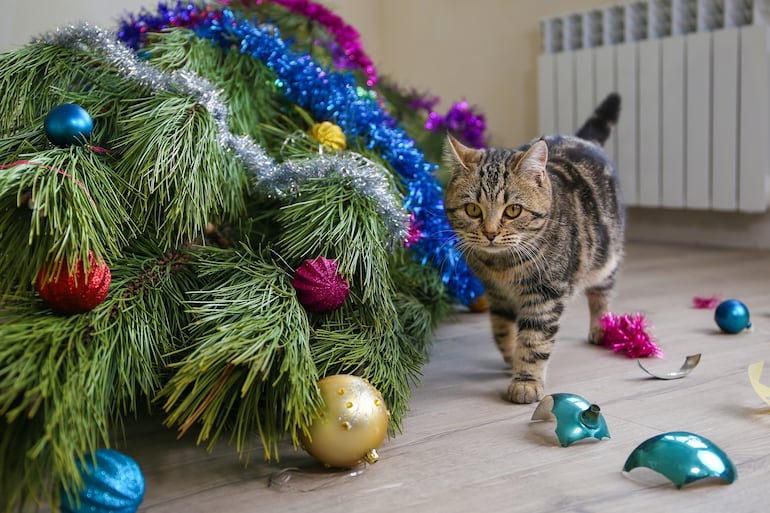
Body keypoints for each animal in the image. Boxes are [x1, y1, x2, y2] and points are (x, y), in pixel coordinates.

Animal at [444, 93, 624, 404]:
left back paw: (601, 326)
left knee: (602, 293)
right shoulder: (496, 293)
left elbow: (535, 340)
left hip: (606, 254)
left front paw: (526, 380)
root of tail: (582, 139)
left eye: (513, 210)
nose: (490, 233)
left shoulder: (546, 295)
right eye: (472, 209)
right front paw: (510, 356)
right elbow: (502, 328)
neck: (501, 265)